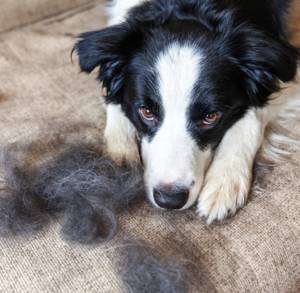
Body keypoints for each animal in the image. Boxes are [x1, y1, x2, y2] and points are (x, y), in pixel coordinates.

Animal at [74, 0, 298, 222]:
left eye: (211, 117)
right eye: (146, 112)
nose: (169, 199)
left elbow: (252, 115)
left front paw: (224, 181)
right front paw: (121, 154)